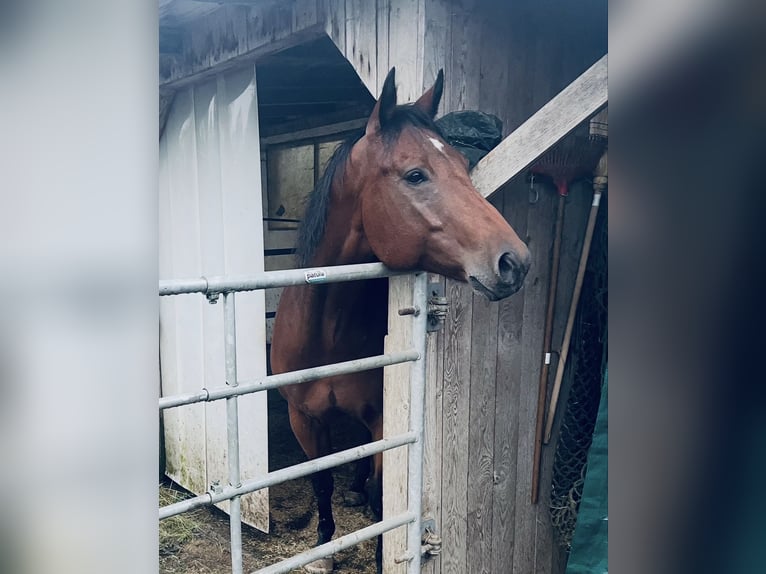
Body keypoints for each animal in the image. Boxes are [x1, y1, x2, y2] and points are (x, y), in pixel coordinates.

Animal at [270, 67, 530, 574]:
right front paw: (323, 549)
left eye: (464, 166)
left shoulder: (383, 424)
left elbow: (382, 499)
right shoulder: (303, 419)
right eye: (415, 174)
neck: (327, 334)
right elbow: (321, 482)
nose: (515, 262)